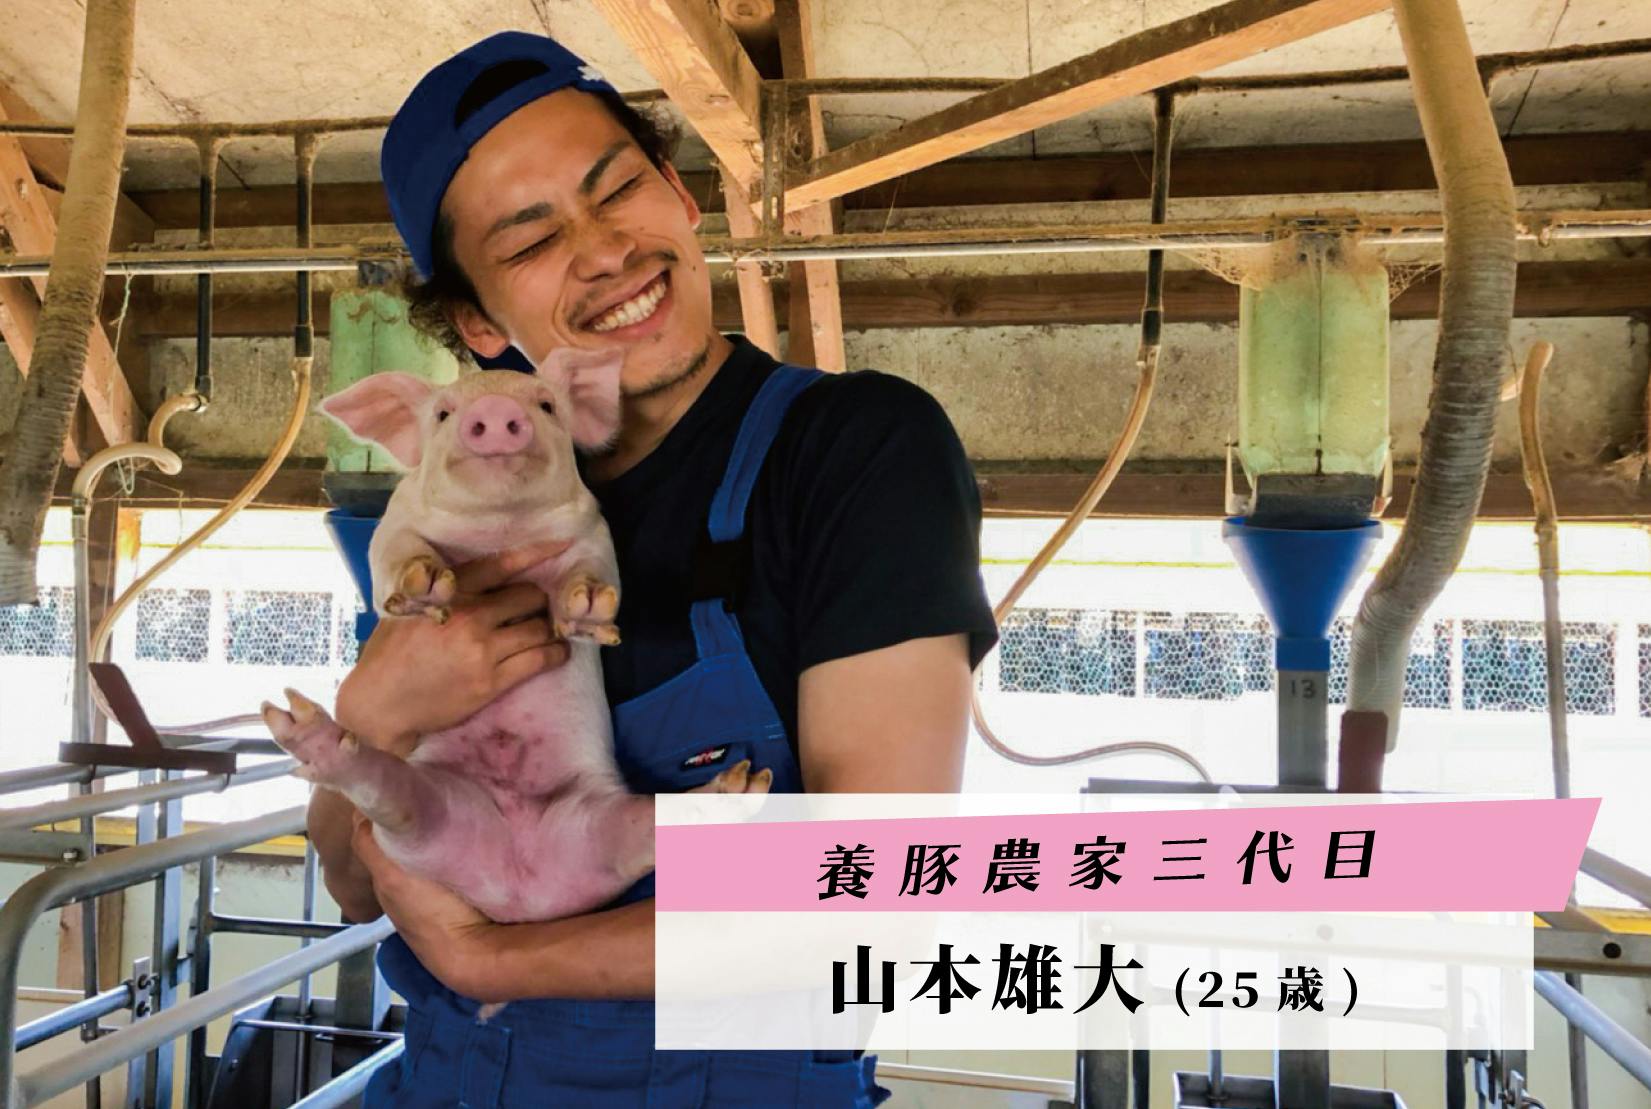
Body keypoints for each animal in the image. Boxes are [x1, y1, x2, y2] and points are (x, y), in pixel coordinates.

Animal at [261, 348, 771, 927]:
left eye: (547, 405)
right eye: (443, 414)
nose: (497, 408)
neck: (499, 528)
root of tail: (519, 890)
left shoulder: (593, 532)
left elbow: (596, 572)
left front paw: (588, 609)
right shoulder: (395, 524)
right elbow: (395, 553)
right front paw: (423, 586)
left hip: (595, 826)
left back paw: (742, 784)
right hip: (419, 829)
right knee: (390, 793)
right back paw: (307, 731)